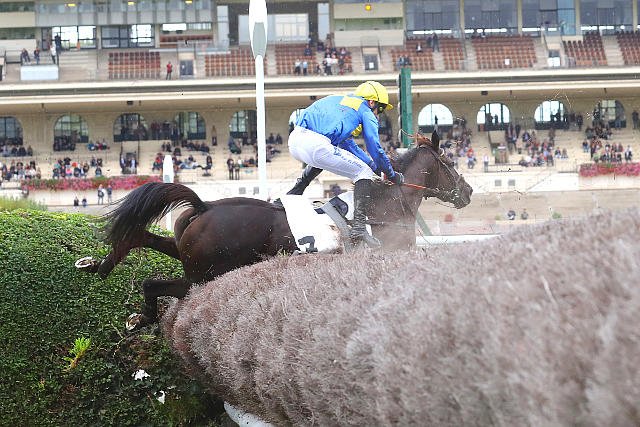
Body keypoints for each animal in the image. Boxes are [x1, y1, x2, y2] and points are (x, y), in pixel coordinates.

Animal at [79, 134, 472, 330]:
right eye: (449, 164)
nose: (467, 192)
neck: (388, 203)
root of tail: (205, 206)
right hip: (203, 277)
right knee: (153, 282)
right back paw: (140, 312)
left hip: (187, 254)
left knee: (141, 240)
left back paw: (102, 266)